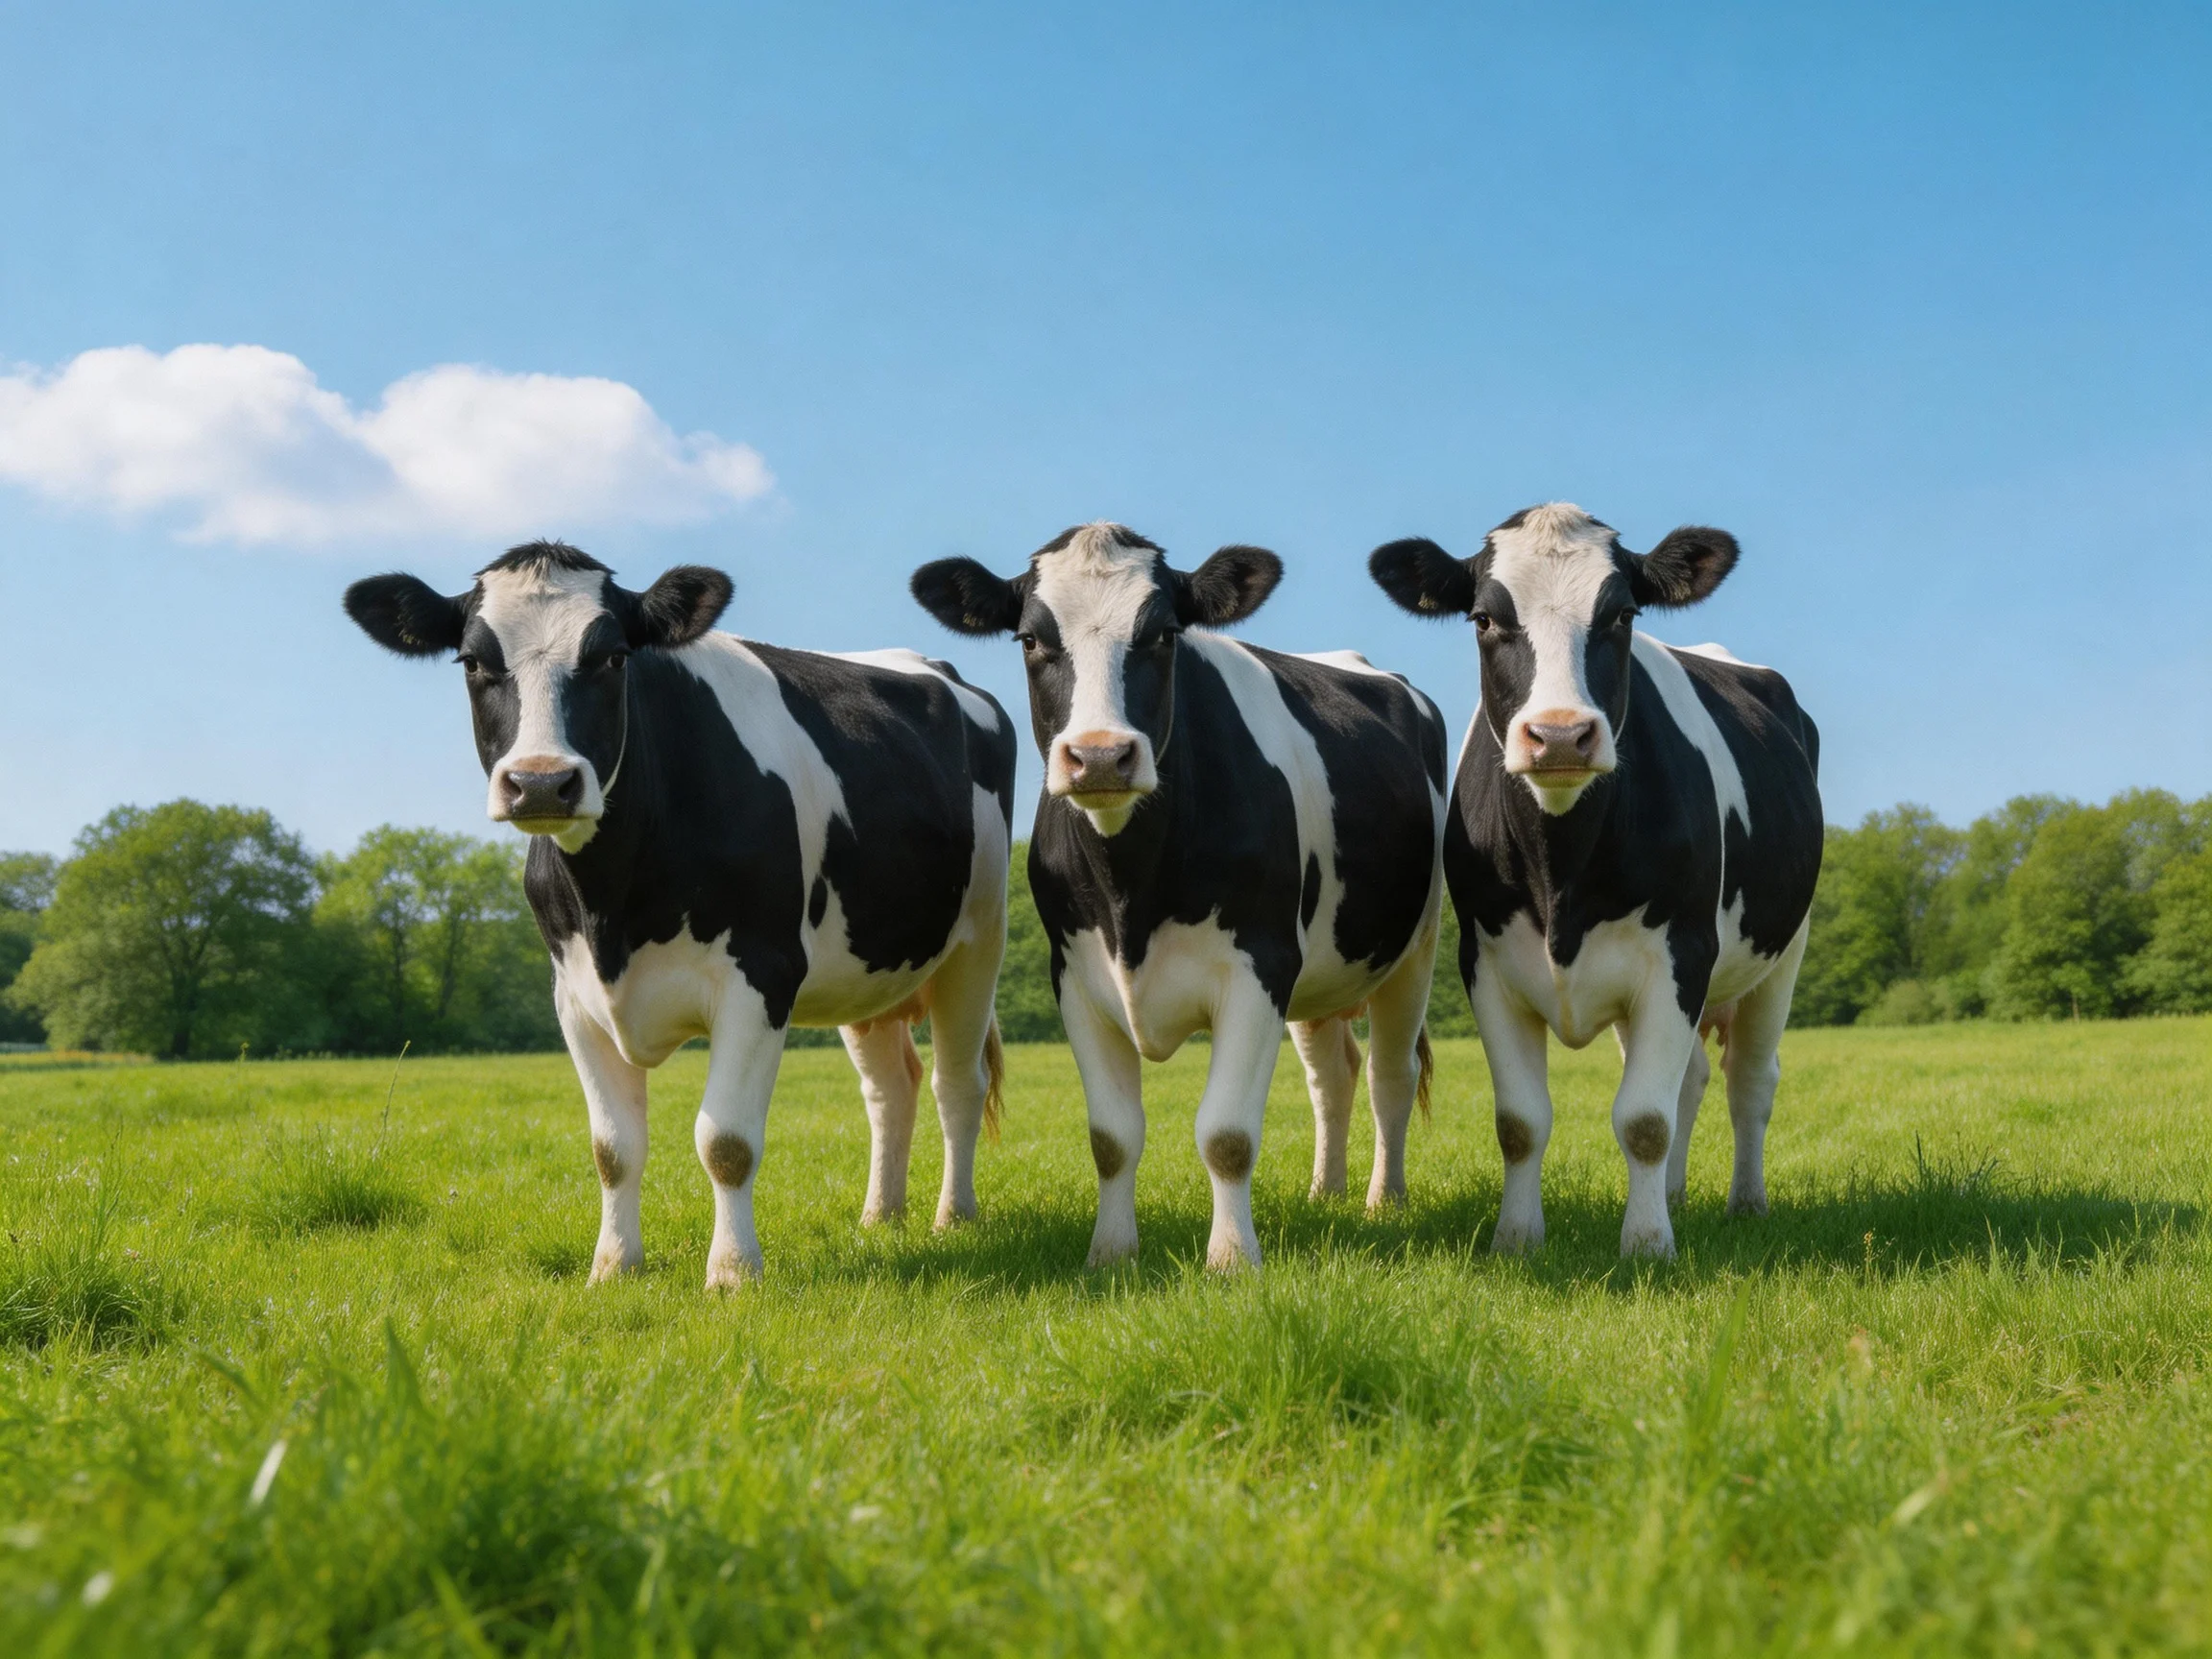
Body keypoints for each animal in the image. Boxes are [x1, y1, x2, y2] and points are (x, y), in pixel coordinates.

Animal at [343, 540, 1018, 1288]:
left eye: (614, 657)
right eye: (471, 661)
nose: (542, 782)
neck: (614, 906)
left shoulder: (762, 975)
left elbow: (726, 1140)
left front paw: (732, 1274)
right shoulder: (574, 995)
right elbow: (612, 1148)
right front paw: (613, 1267)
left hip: (979, 942)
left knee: (958, 1085)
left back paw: (953, 1217)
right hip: (867, 968)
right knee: (890, 1089)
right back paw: (881, 1217)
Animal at [911, 522, 1447, 1271]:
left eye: (1164, 634)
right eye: (1030, 639)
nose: (1100, 757)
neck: (1131, 891)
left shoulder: (1260, 966)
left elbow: (1226, 1134)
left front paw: (1232, 1259)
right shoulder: (1075, 976)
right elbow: (1111, 1138)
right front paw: (1109, 1255)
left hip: (1415, 948)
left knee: (1390, 1078)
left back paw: (1382, 1201)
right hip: (1320, 973)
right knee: (1334, 1077)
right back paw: (1325, 1192)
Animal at [1369, 502, 1822, 1258]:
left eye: (1623, 614)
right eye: (1484, 618)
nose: (1559, 736)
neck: (1562, 870)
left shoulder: (1680, 954)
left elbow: (1643, 1120)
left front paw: (1647, 1245)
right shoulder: (1485, 961)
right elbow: (1520, 1122)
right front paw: (1517, 1238)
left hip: (1782, 952)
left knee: (1751, 1082)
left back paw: (1745, 1203)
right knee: (1694, 1079)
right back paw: (1677, 1196)